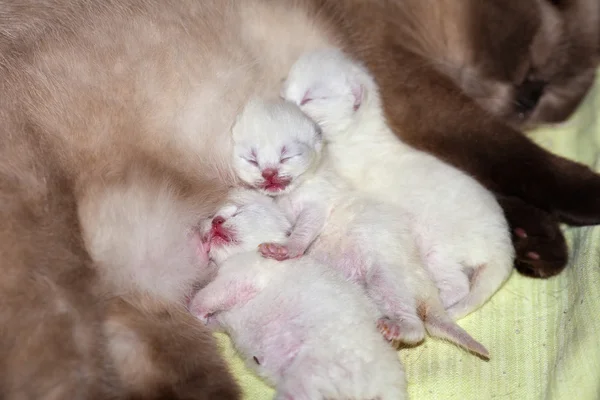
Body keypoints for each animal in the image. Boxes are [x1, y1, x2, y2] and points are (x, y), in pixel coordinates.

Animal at [189, 189, 408, 400]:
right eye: (213, 217)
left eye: (239, 212)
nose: (216, 221)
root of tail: (390, 387)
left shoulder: (241, 278)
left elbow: (206, 297)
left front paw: (192, 310)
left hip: (309, 374)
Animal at [232, 98, 490, 358]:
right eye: (252, 159)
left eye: (286, 155)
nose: (269, 173)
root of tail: (428, 289)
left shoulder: (319, 201)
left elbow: (305, 227)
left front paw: (287, 248)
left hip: (385, 276)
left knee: (417, 327)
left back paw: (397, 329)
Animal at [282, 50, 516, 320]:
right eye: (285, 91)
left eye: (309, 97)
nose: (282, 102)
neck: (355, 133)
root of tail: (503, 245)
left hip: (439, 247)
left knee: (458, 285)